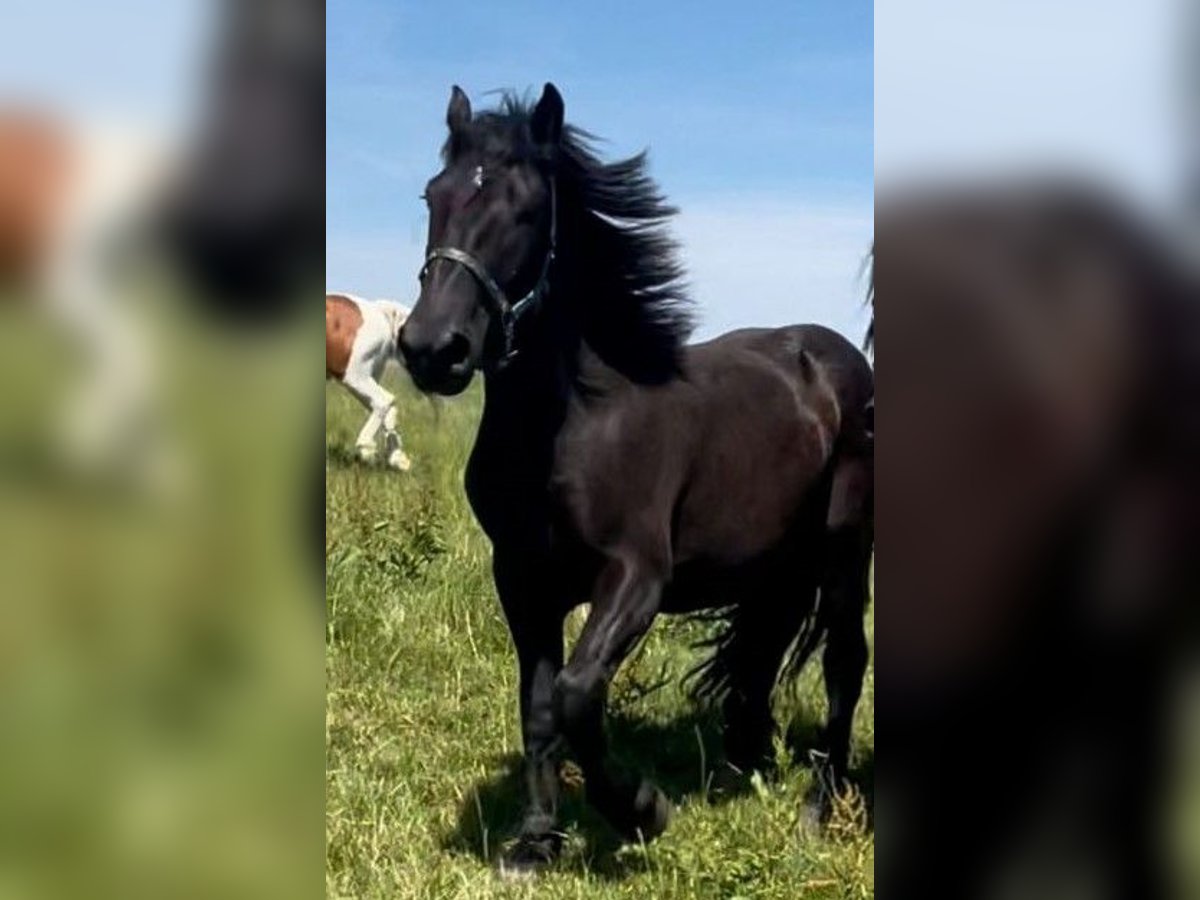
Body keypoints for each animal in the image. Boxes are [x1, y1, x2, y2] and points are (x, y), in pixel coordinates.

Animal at [326, 294, 415, 472]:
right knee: (386, 407)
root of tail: (377, 310)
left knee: (384, 400)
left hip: (355, 376)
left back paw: (366, 448)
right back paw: (398, 459)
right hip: (365, 378)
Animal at [398, 84, 878, 873]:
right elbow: (538, 706)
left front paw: (643, 810)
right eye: (433, 194)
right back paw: (748, 764)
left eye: (526, 210)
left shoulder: (634, 577)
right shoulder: (521, 579)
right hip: (775, 566)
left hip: (843, 552)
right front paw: (536, 841)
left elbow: (576, 693)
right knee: (762, 655)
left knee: (844, 660)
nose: (432, 350)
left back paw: (819, 806)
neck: (575, 421)